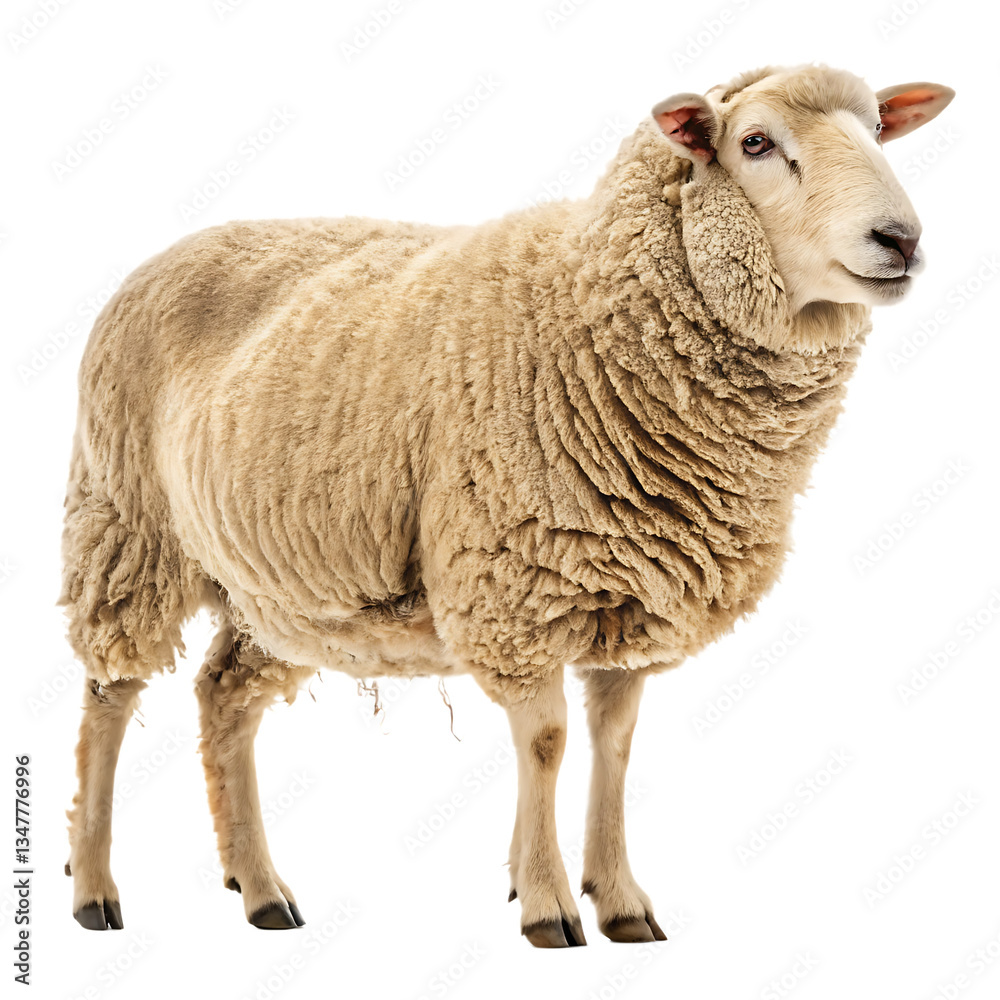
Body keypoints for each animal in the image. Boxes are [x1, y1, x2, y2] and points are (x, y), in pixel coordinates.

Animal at [61, 64, 954, 946]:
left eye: (879, 129)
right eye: (757, 143)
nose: (901, 240)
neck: (589, 315)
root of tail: (167, 252)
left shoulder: (630, 594)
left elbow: (615, 745)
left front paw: (619, 899)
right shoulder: (514, 587)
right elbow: (548, 743)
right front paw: (548, 903)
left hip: (283, 590)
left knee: (223, 697)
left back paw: (260, 890)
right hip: (127, 528)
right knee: (109, 696)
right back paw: (95, 889)